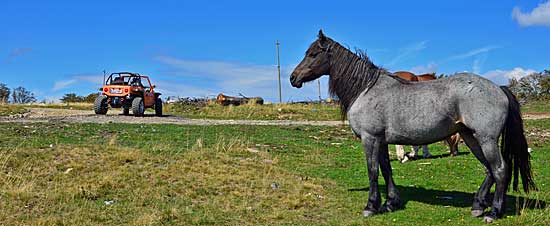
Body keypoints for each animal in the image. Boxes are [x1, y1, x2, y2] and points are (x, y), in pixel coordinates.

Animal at [292, 30, 536, 223]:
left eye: (313, 54)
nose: (293, 78)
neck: (365, 89)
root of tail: (498, 88)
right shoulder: (381, 141)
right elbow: (386, 170)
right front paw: (391, 203)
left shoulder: (370, 138)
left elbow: (372, 171)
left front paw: (371, 206)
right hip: (471, 137)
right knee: (488, 169)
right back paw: (478, 205)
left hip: (486, 139)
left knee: (500, 170)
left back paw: (493, 212)